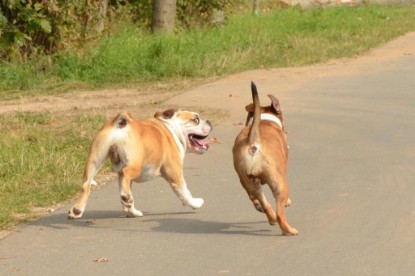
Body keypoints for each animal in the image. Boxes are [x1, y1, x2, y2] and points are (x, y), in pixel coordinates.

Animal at [68, 109, 213, 219]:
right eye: (196, 120)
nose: (209, 121)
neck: (171, 129)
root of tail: (121, 124)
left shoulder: (121, 176)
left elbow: (125, 192)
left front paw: (131, 211)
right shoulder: (175, 174)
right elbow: (185, 192)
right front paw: (195, 203)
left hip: (94, 161)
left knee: (86, 185)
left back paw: (77, 211)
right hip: (135, 165)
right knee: (126, 173)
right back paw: (126, 197)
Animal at [234, 81, 300, 235]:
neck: (265, 119)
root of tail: (253, 142)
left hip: (248, 181)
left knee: (261, 200)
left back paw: (270, 217)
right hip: (279, 183)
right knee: (279, 212)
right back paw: (289, 230)